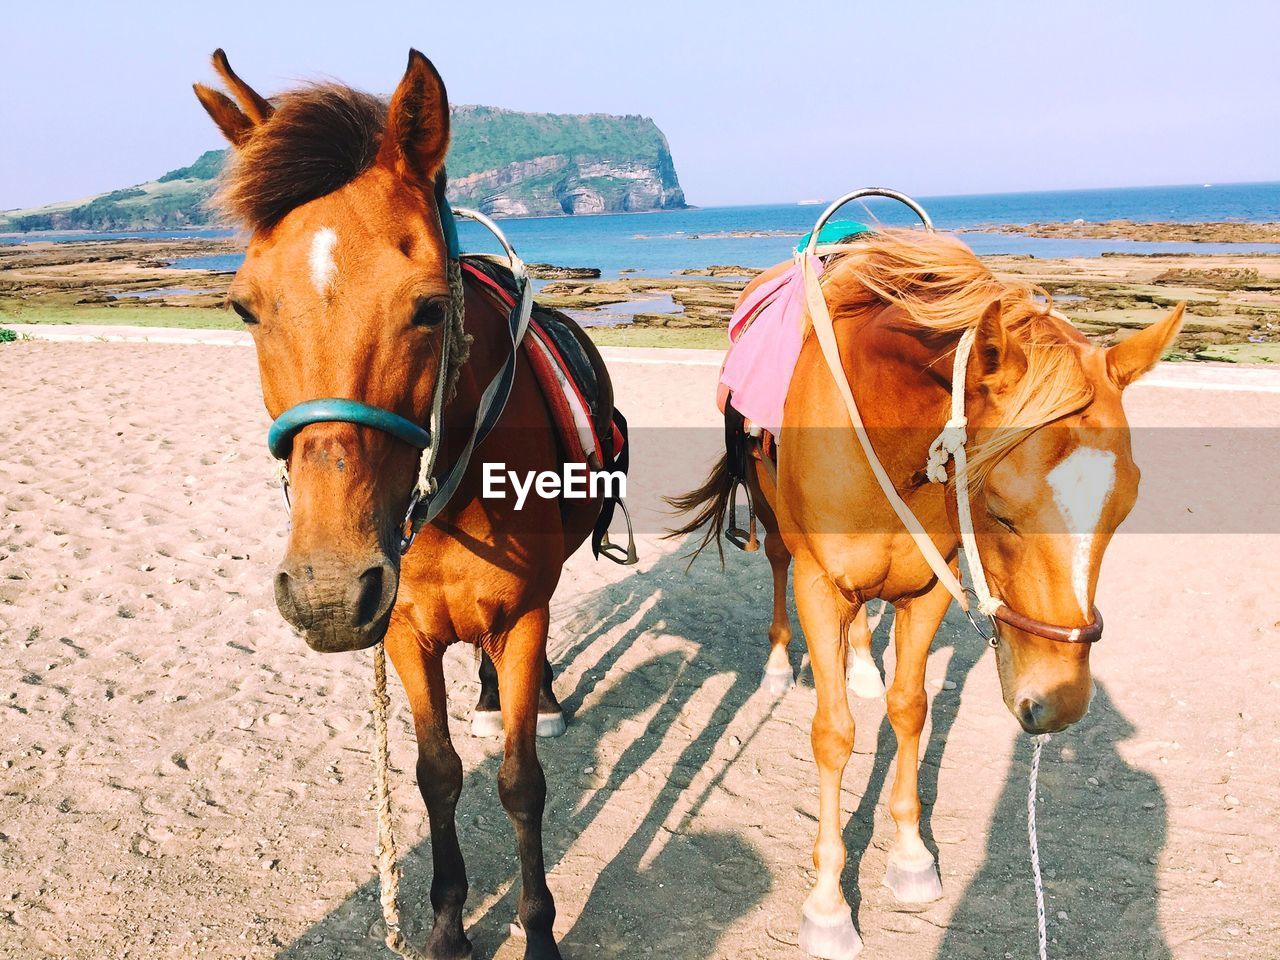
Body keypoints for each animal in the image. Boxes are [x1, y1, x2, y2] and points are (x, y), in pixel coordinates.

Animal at [194, 50, 614, 960]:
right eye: (245, 308)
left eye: (429, 306)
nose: (325, 590)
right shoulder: (402, 630)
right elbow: (436, 777)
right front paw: (450, 926)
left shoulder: (524, 615)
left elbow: (521, 784)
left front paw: (537, 929)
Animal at [675, 232, 1182, 960]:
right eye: (999, 511)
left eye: (1126, 506)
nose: (1058, 703)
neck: (885, 426)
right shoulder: (818, 586)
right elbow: (833, 734)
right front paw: (828, 905)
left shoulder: (928, 589)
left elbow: (910, 711)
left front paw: (912, 857)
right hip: (773, 520)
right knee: (774, 562)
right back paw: (776, 663)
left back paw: (861, 664)